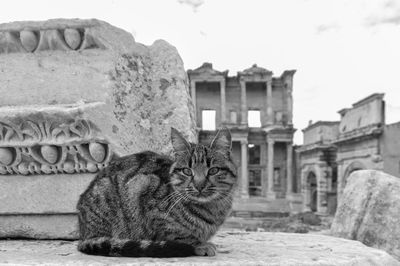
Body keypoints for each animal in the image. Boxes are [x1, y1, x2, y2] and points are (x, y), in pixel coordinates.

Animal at [76, 128, 236, 256]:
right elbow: (180, 235)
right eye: (187, 171)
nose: (199, 185)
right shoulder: (144, 188)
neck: (212, 209)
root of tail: (83, 233)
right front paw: (200, 245)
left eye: (213, 170)